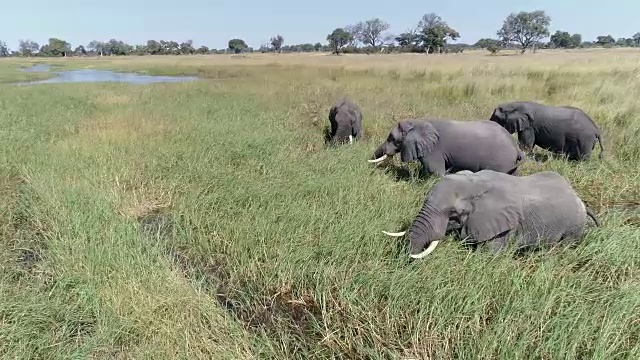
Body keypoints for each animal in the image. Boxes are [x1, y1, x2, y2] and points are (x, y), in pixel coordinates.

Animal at [370, 119, 524, 176]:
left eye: (392, 139)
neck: (417, 122)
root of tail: (516, 148)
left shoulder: (434, 151)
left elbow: (435, 172)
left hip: (500, 163)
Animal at [382, 169, 604, 258]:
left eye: (453, 213)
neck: (475, 183)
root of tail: (580, 199)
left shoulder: (501, 227)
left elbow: (488, 255)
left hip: (574, 227)